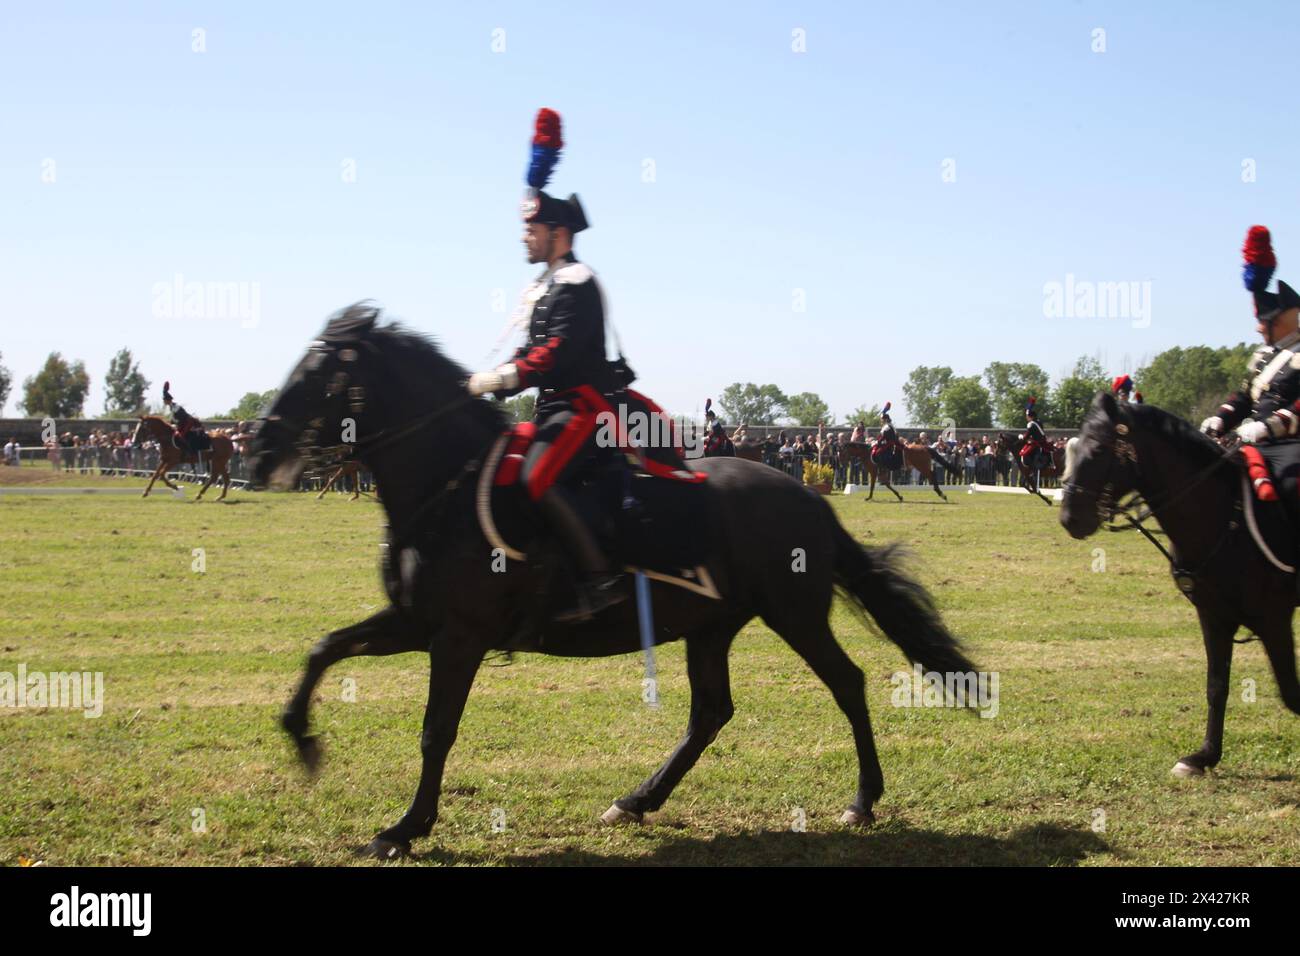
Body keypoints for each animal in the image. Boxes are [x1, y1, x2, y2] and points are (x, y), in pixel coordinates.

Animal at [245, 306, 977, 858]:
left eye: (316, 374)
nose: (259, 452)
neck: (448, 487)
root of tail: (806, 495)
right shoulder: (414, 623)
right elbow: (324, 649)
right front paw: (303, 740)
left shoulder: (458, 637)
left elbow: (436, 731)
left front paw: (405, 828)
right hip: (711, 627)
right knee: (711, 712)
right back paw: (637, 800)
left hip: (794, 614)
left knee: (845, 683)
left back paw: (863, 801)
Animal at [1060, 395, 1294, 780]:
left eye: (1098, 451)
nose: (1070, 519)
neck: (1225, 519)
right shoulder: (1214, 616)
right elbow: (1217, 686)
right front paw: (1204, 756)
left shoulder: (1274, 617)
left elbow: (1291, 692)